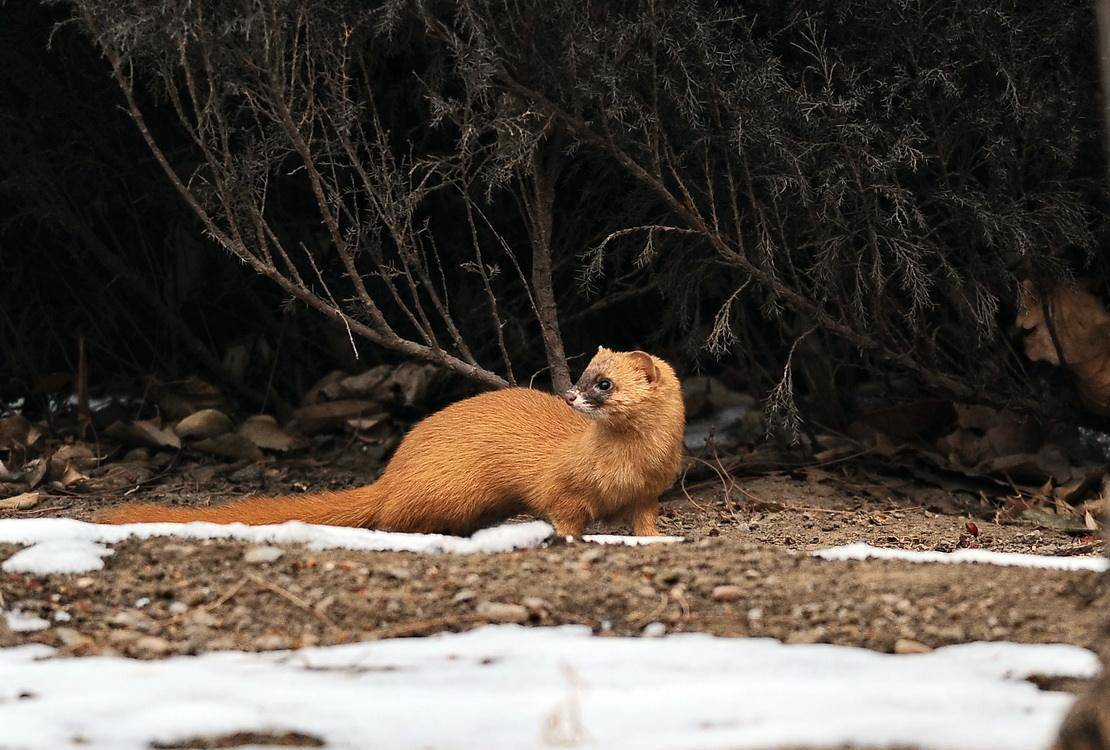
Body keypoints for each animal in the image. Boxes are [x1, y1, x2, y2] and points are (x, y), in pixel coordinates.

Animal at [99, 348, 683, 536]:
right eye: (582, 373)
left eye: (603, 383)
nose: (568, 393)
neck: (626, 465)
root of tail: (393, 473)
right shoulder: (558, 483)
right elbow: (561, 509)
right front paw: (569, 537)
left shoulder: (650, 490)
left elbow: (644, 518)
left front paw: (654, 540)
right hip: (450, 488)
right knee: (394, 518)